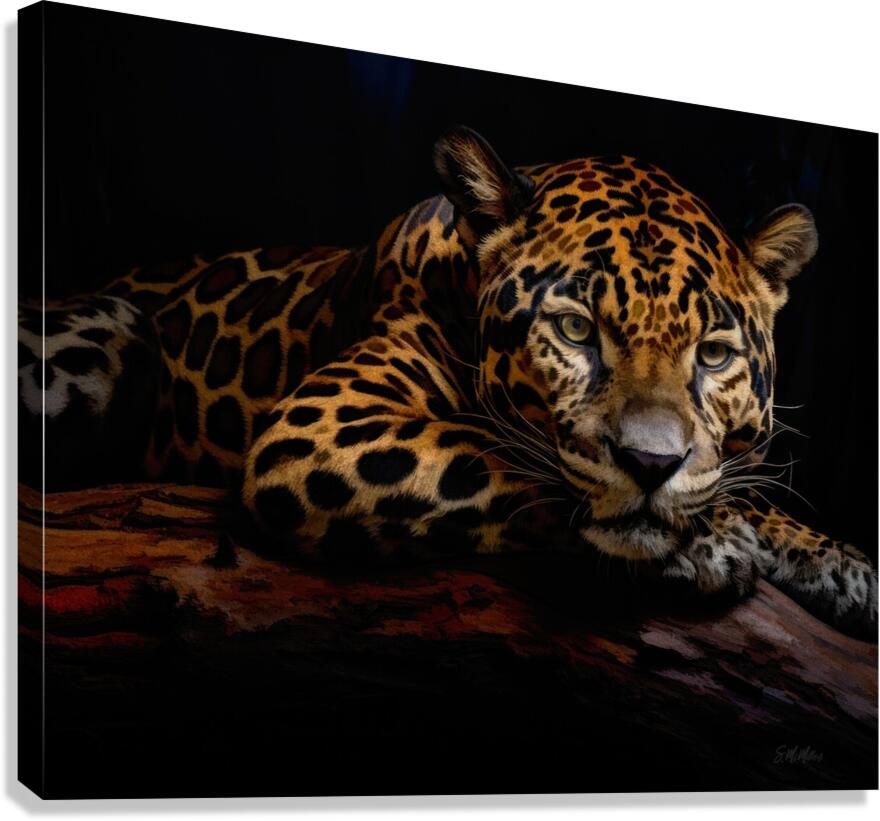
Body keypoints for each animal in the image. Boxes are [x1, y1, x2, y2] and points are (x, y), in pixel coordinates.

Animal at [18, 126, 877, 638]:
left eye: (713, 355)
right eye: (575, 331)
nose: (651, 464)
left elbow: (738, 485)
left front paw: (834, 560)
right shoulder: (320, 426)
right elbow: (504, 457)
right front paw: (707, 537)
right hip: (108, 332)